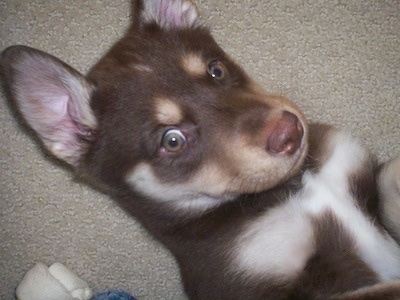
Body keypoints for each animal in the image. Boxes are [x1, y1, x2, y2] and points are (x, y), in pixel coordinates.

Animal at [2, 1, 400, 298]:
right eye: (172, 140)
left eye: (215, 71)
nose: (290, 132)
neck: (297, 187)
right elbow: (377, 291)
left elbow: (388, 175)